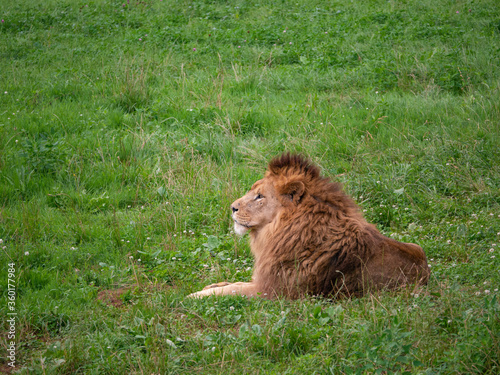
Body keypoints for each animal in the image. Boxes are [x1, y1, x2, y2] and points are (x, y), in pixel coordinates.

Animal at [188, 153, 430, 300]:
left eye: (259, 196)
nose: (232, 208)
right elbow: (235, 282)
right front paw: (212, 285)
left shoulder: (273, 291)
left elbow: (233, 289)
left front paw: (196, 296)